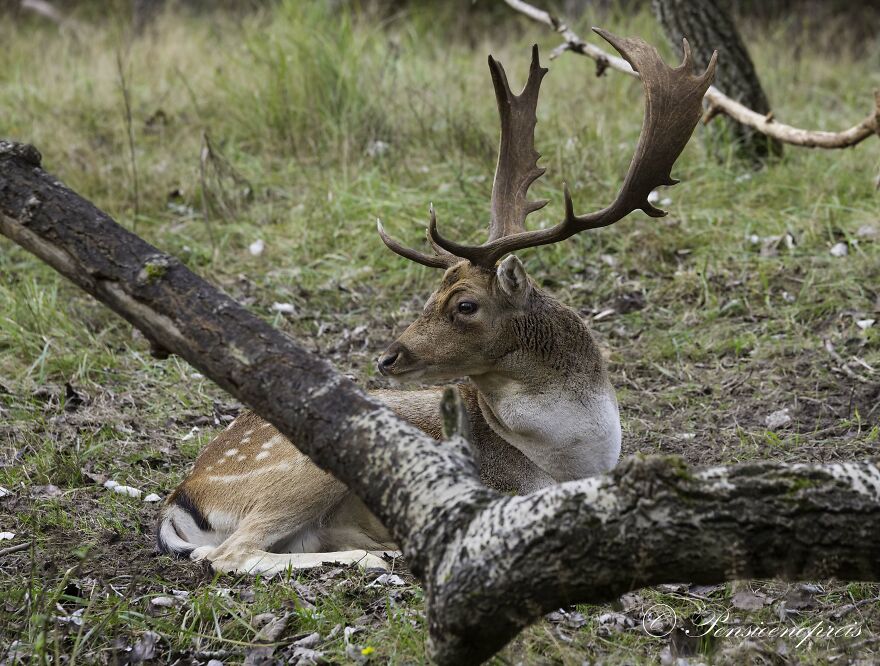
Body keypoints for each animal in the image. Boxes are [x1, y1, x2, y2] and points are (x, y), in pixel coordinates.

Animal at [157, 29, 716, 576]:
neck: (577, 458)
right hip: (305, 465)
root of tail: (181, 500)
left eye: (464, 305)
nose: (388, 357)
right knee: (227, 556)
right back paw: (376, 557)